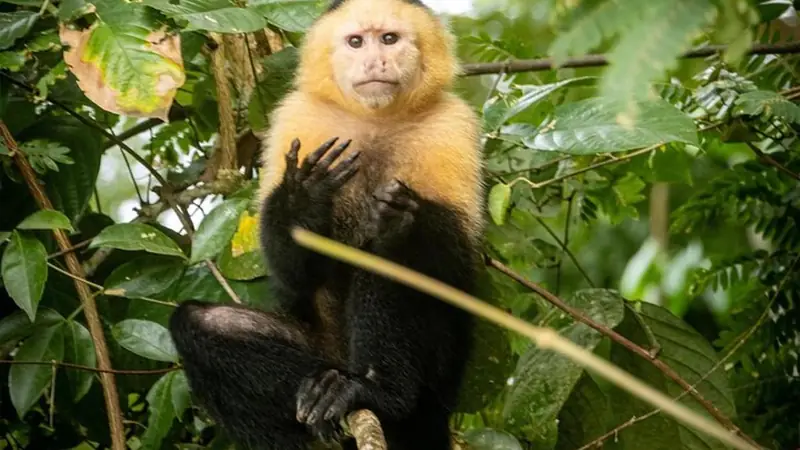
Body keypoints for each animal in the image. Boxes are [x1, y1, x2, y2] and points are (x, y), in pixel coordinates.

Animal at [168, 0, 485, 449]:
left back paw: (376, 391)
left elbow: (452, 260)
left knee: (389, 261)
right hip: (317, 348)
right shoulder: (298, 116)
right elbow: (292, 272)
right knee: (202, 325)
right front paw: (304, 201)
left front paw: (401, 218)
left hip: (441, 382)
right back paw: (320, 394)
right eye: (356, 42)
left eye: (389, 39)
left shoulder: (452, 125)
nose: (375, 60)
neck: (374, 120)